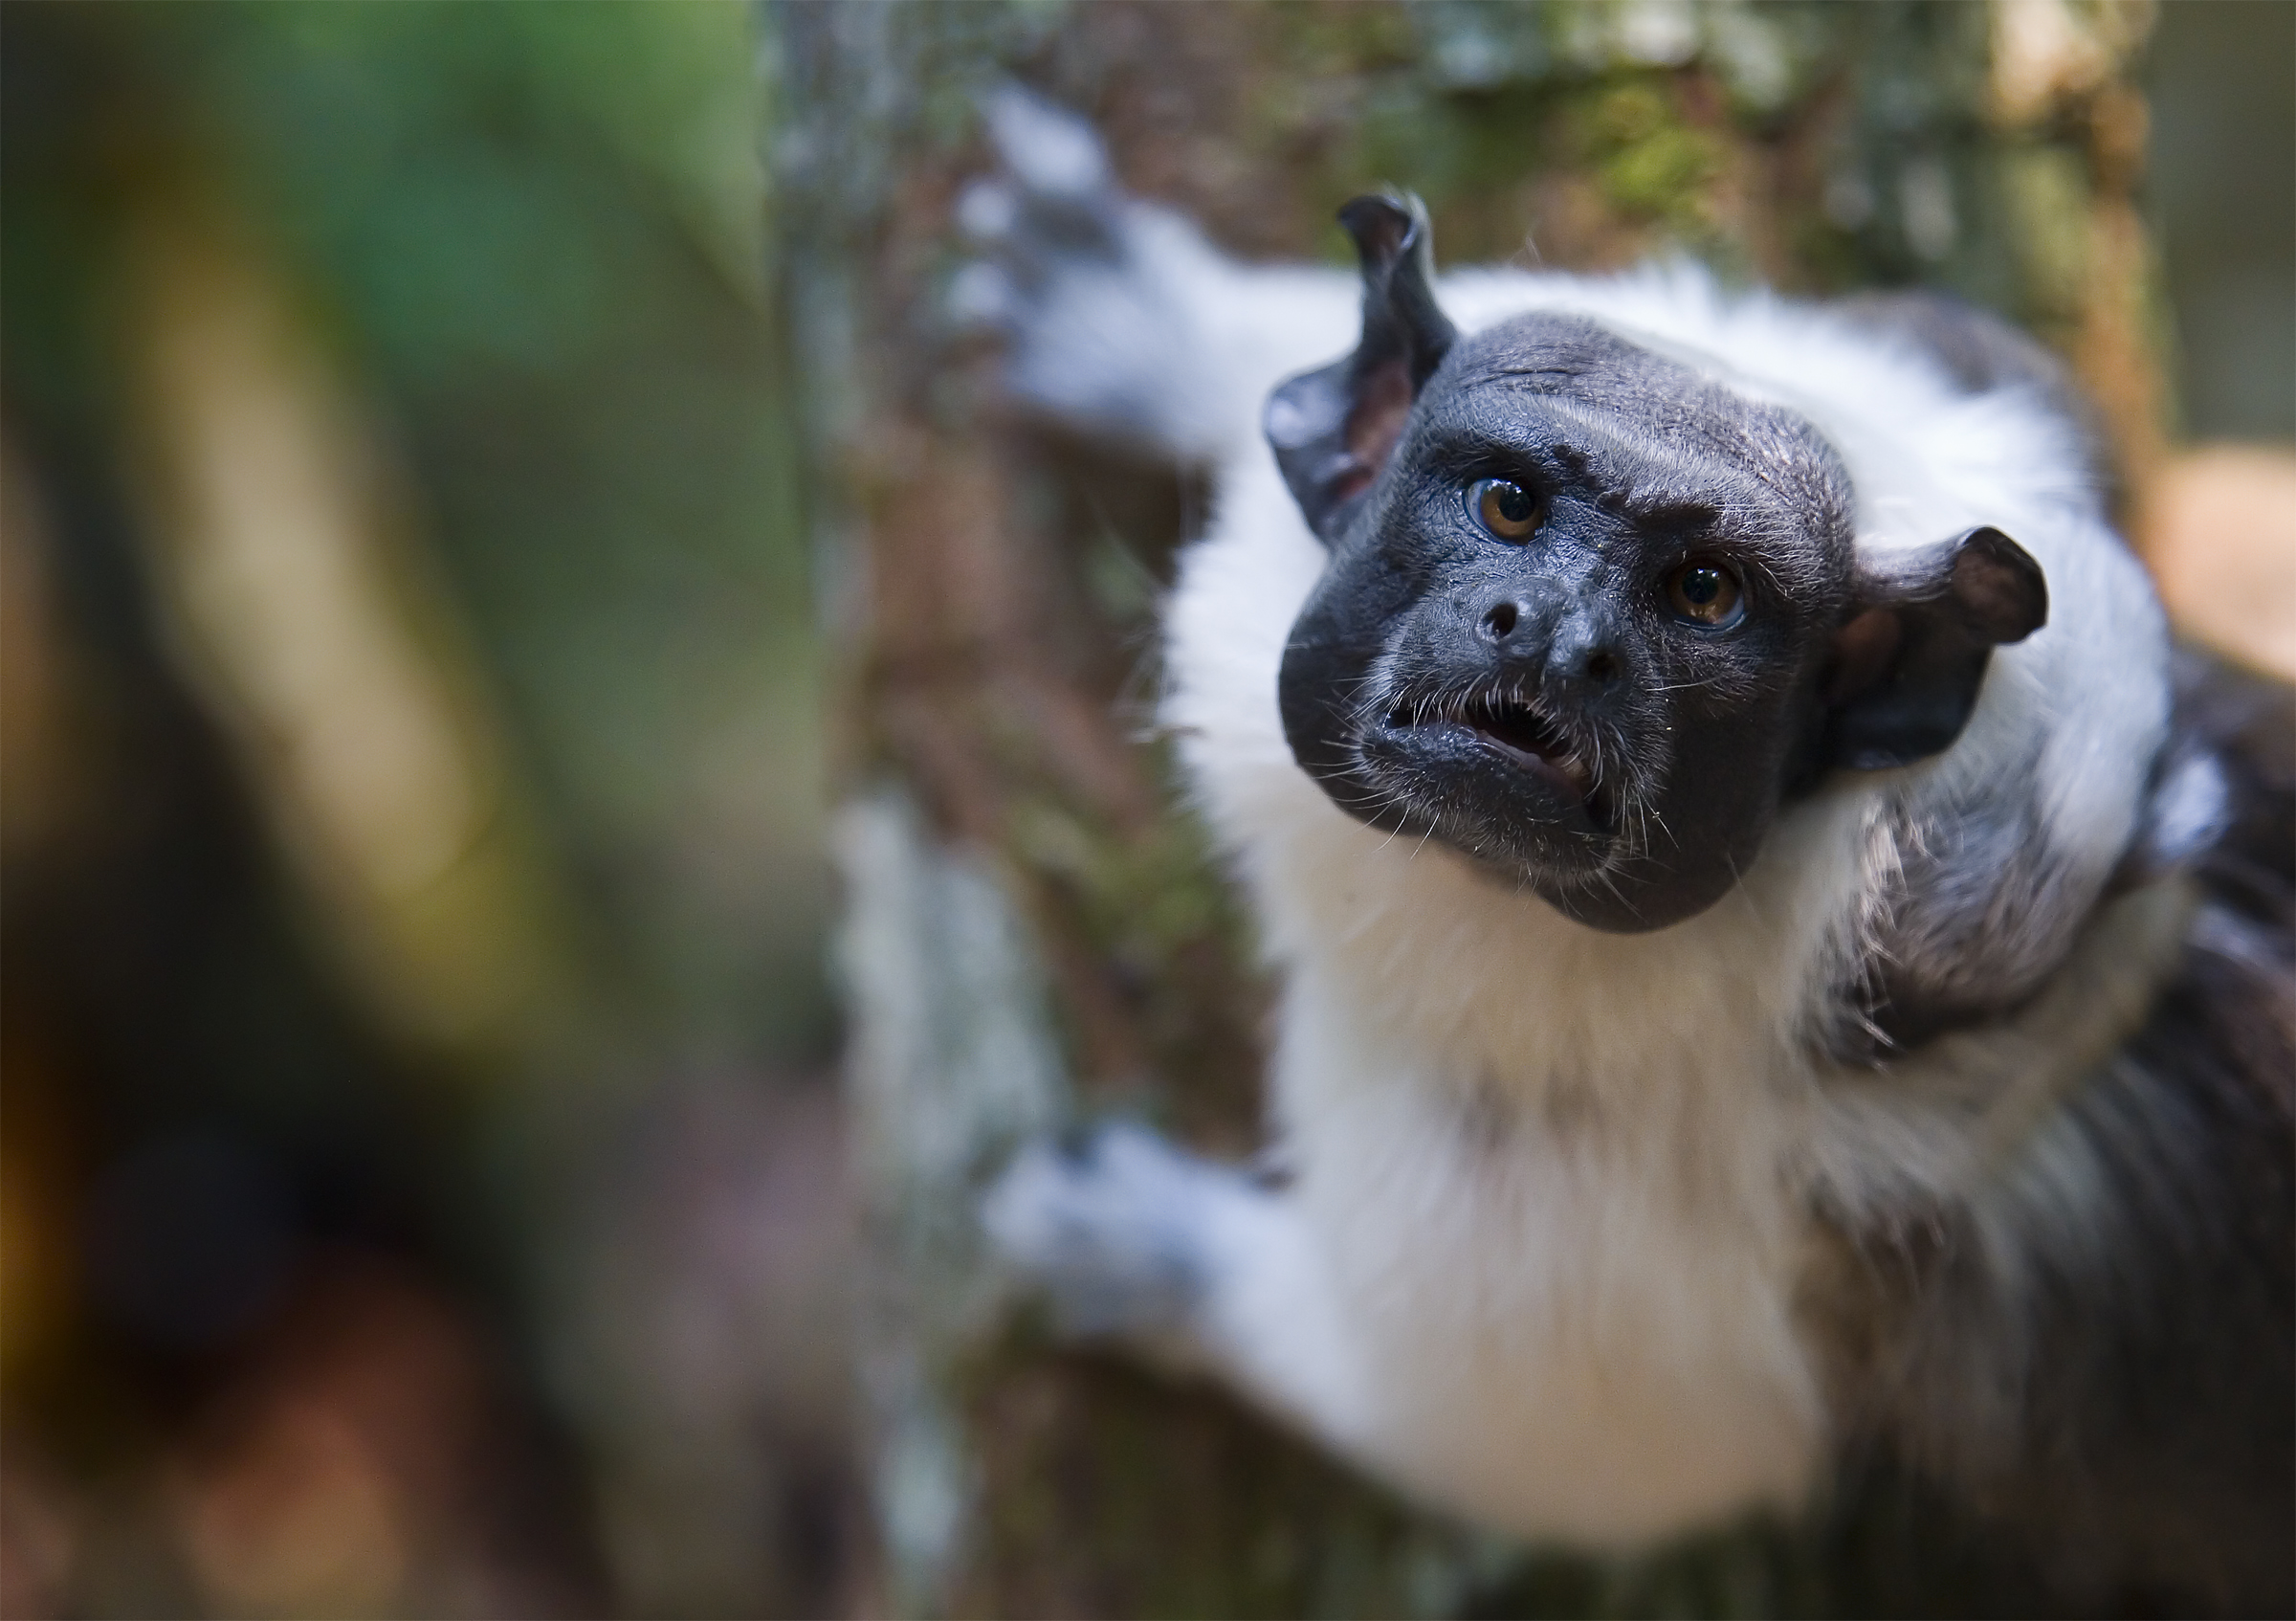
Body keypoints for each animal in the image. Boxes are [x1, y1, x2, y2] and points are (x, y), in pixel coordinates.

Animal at [959, 90, 2294, 1615]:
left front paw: (1156, 1256)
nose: (1555, 636)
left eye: (1703, 594)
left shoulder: (1614, 1186)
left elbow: (1554, 1439)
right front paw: (1159, 327)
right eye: (1508, 507)